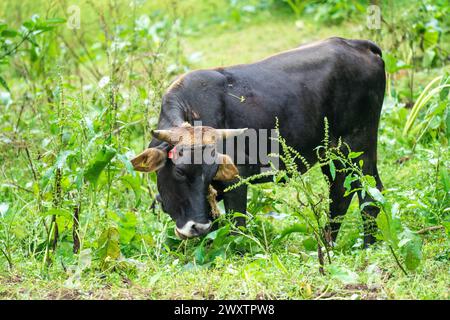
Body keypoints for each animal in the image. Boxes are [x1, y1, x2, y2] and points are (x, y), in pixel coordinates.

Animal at [131, 37, 386, 246]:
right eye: (180, 171)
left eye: (210, 171)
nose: (198, 227)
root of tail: (358, 44)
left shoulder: (238, 178)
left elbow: (237, 227)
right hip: (333, 155)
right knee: (341, 190)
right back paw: (328, 243)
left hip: (359, 147)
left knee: (369, 194)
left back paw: (366, 246)